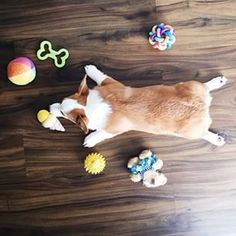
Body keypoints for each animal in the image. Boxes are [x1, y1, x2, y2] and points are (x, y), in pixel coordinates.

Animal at [56, 64, 228, 148]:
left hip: (189, 132)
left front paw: (89, 139)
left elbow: (100, 134)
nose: (53, 106)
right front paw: (90, 69)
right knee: (205, 86)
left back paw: (217, 139)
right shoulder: (110, 84)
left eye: (65, 115)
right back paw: (217, 82)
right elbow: (101, 76)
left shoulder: (112, 130)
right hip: (191, 86)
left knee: (204, 134)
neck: (91, 106)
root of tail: (202, 106)